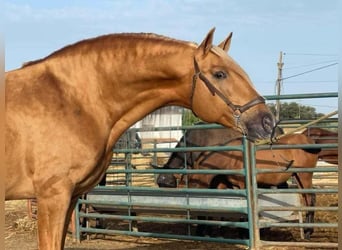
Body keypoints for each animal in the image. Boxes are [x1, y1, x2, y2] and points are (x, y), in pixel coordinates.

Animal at [158, 128, 320, 239]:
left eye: (196, 184)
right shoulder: (230, 185)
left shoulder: (240, 185)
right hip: (297, 177)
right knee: (306, 199)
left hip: (304, 175)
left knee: (311, 198)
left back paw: (308, 231)